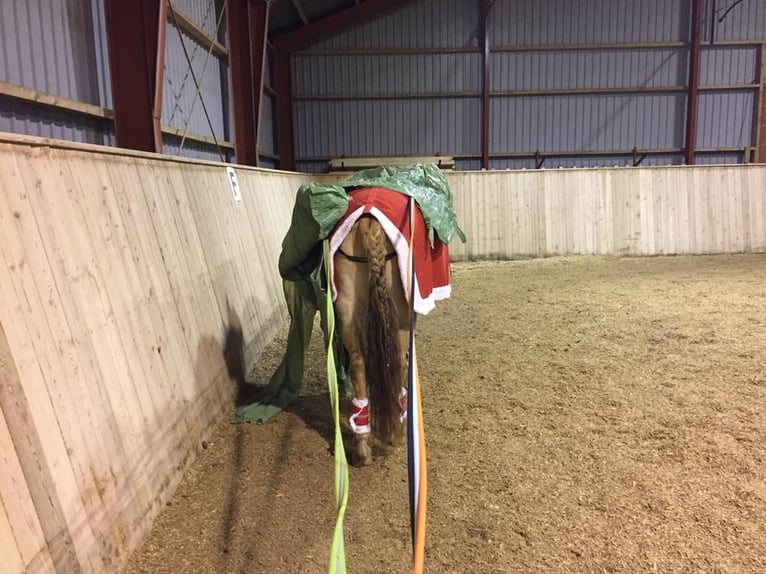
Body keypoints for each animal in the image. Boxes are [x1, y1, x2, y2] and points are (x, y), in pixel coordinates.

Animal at [332, 216, 412, 468]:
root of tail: (369, 222)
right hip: (400, 313)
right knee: (399, 361)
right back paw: (398, 431)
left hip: (347, 303)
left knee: (358, 364)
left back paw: (362, 447)